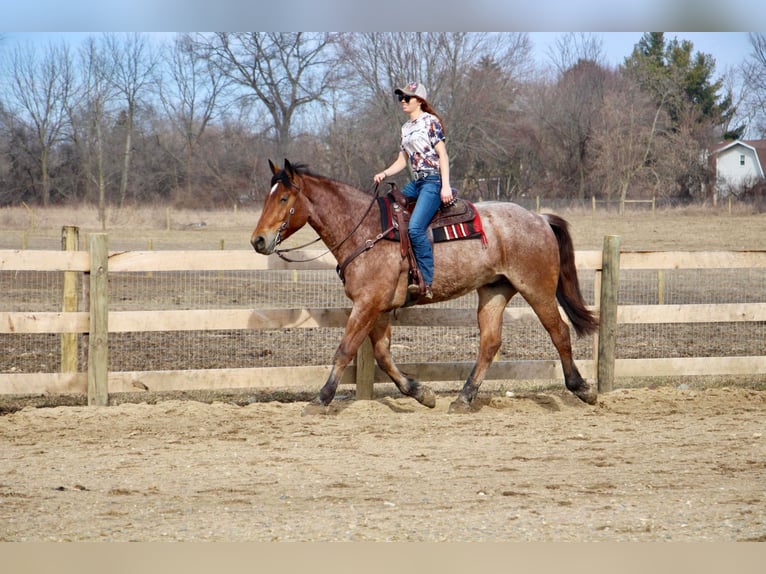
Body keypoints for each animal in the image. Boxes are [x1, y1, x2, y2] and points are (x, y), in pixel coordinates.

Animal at [252, 161, 600, 414]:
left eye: (284, 198)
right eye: (267, 197)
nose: (258, 241)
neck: (366, 231)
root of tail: (539, 218)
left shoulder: (367, 304)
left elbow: (344, 350)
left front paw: (321, 398)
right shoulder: (378, 308)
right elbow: (383, 356)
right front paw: (422, 393)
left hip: (537, 289)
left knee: (559, 332)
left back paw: (582, 388)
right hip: (494, 291)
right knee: (489, 343)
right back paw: (464, 397)